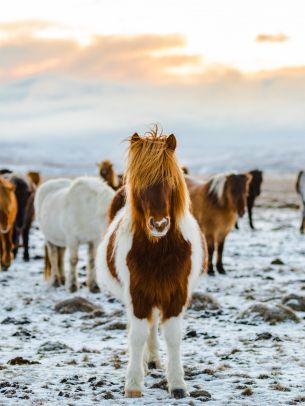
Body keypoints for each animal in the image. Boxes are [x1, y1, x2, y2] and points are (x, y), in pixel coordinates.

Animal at [96, 132, 205, 398]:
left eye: (170, 181)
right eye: (140, 184)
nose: (159, 224)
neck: (158, 252)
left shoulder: (176, 294)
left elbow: (173, 336)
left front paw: (177, 384)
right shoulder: (137, 294)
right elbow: (136, 336)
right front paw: (134, 384)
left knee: (153, 324)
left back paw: (154, 360)